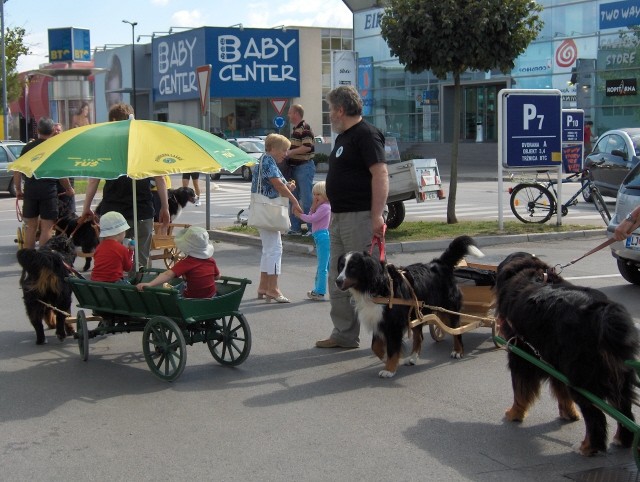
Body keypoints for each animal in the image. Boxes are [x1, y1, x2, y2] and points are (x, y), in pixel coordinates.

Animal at [338, 235, 482, 378]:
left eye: (352, 267)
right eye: (341, 266)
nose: (337, 281)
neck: (376, 286)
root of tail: (440, 263)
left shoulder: (393, 323)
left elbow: (392, 348)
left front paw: (389, 369)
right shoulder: (378, 319)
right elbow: (376, 346)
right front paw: (385, 358)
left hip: (448, 308)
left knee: (457, 330)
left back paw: (458, 351)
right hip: (415, 313)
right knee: (419, 337)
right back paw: (413, 358)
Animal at [496, 252, 640, 456]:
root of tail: (602, 311)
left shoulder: (521, 355)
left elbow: (520, 390)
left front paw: (515, 413)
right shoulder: (553, 362)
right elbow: (560, 391)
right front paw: (569, 414)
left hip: (581, 376)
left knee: (596, 416)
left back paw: (589, 447)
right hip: (618, 374)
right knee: (624, 408)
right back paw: (623, 440)